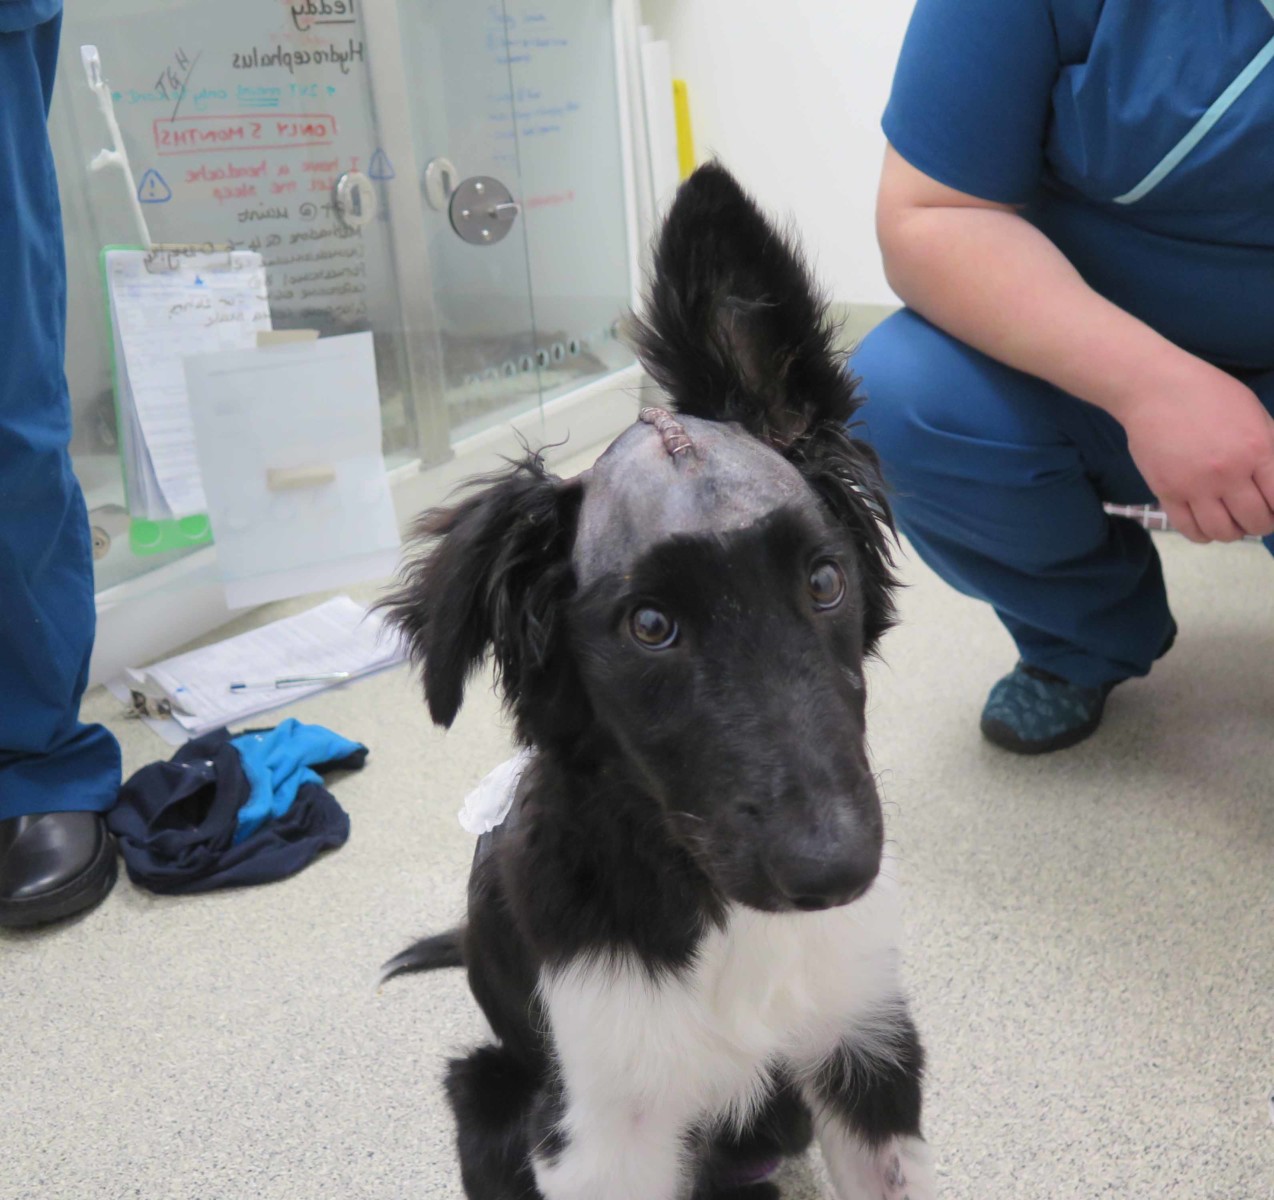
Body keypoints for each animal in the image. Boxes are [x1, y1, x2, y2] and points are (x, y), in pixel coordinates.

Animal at [382, 161, 932, 1200]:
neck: (718, 913)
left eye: (825, 581)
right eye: (650, 627)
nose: (837, 871)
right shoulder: (600, 1130)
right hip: (490, 1091)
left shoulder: (867, 1046)